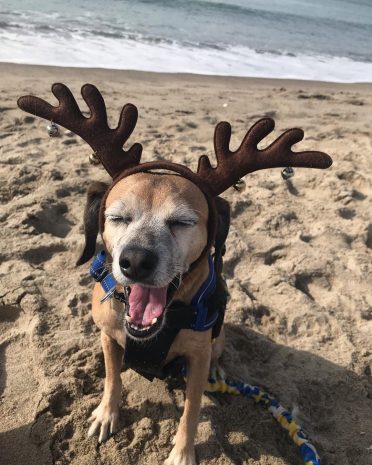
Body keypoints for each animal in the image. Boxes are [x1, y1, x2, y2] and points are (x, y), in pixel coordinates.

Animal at [16, 83, 332, 464]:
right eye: (117, 217)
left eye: (182, 222)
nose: (136, 261)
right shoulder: (107, 336)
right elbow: (111, 379)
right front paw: (107, 413)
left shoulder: (196, 359)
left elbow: (192, 410)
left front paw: (181, 454)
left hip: (216, 342)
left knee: (216, 355)